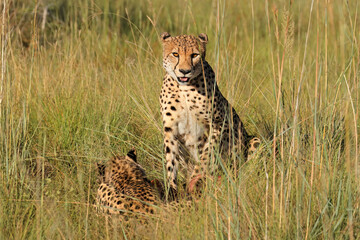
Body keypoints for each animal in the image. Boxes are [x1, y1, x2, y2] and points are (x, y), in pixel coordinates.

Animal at [160, 32, 258, 193]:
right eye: (175, 54)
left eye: (195, 55)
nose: (185, 71)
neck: (184, 88)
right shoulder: (170, 129)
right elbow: (171, 161)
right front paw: (171, 189)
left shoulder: (218, 124)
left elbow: (207, 154)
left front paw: (196, 179)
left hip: (253, 141)